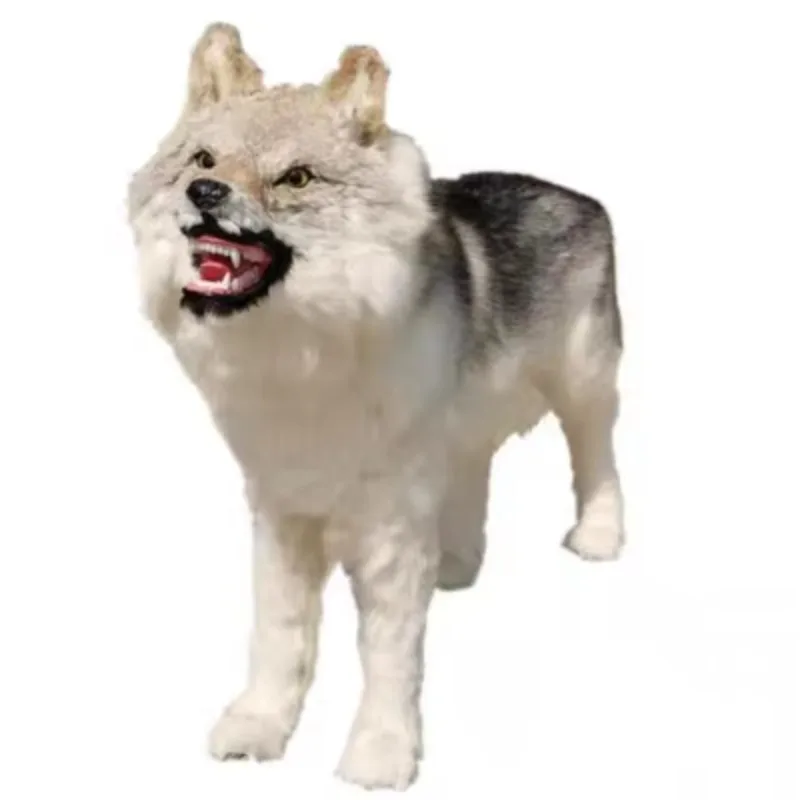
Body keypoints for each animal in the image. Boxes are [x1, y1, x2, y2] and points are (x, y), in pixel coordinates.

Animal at [126, 22, 625, 791]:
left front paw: (380, 757)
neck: (305, 354)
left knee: (597, 454)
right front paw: (257, 728)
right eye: (203, 160)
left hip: (584, 383)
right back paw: (454, 564)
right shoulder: (282, 511)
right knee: (473, 469)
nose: (204, 192)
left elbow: (389, 654)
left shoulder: (388, 525)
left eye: (296, 178)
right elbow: (279, 635)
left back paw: (599, 536)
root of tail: (583, 198)